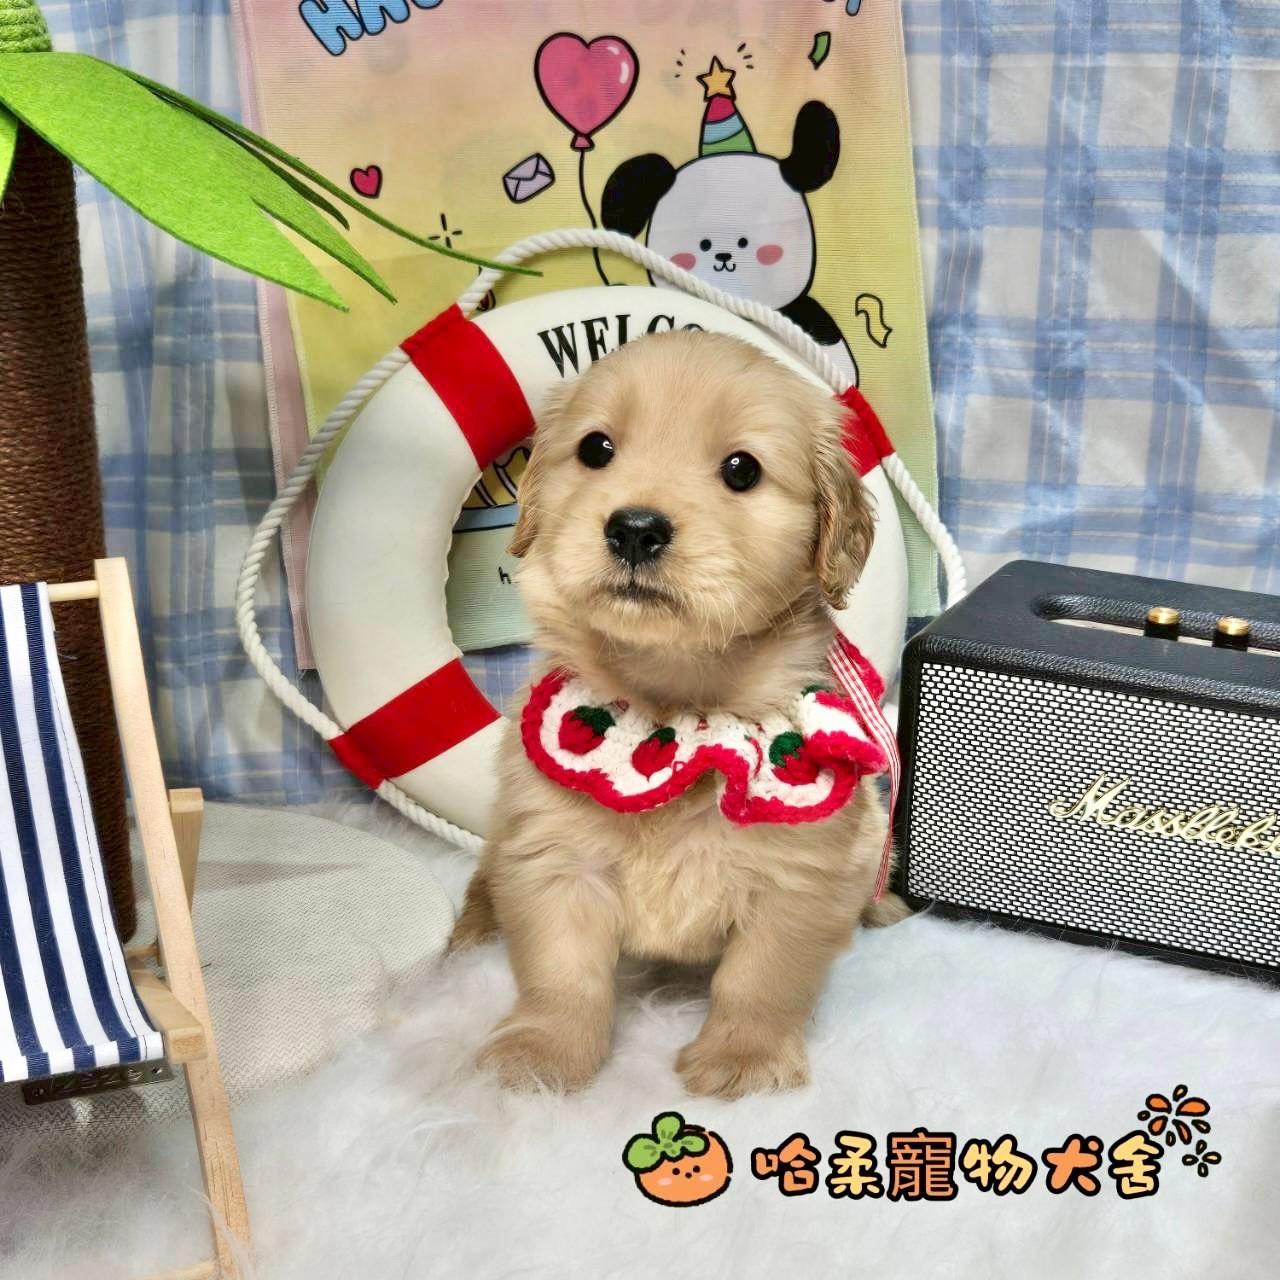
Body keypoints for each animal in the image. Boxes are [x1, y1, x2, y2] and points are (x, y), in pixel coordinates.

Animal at [450, 330, 905, 1098]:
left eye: (742, 469)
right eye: (596, 448)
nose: (635, 529)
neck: (681, 715)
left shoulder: (799, 879)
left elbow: (760, 981)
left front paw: (744, 1058)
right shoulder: (555, 860)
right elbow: (560, 974)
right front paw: (542, 1053)